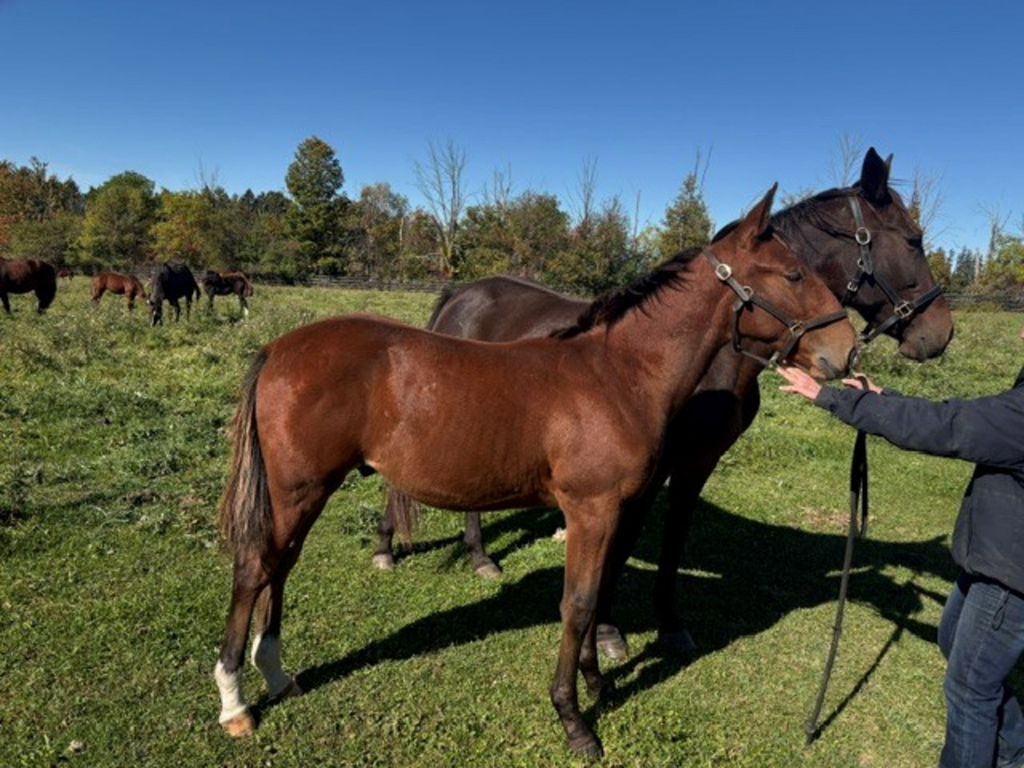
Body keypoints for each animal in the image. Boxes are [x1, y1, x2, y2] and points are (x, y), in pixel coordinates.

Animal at [213, 184, 858, 758]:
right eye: (793, 275)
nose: (847, 351)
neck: (617, 375)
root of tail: (278, 349)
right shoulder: (592, 508)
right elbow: (578, 604)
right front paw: (575, 721)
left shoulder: (618, 509)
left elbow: (600, 592)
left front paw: (598, 683)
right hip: (297, 490)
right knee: (254, 568)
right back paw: (236, 703)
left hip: (303, 493)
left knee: (280, 566)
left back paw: (278, 677)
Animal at [373, 148, 955, 659]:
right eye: (913, 239)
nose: (938, 334)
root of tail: (465, 293)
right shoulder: (647, 473)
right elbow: (623, 544)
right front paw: (608, 633)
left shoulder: (697, 463)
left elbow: (673, 539)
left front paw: (669, 625)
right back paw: (393, 549)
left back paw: (469, 554)